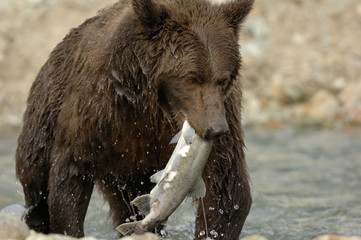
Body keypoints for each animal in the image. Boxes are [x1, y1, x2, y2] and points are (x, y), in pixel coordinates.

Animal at [15, 0, 253, 238]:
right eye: (191, 78)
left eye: (223, 79)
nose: (216, 129)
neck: (152, 107)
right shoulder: (97, 114)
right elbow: (71, 177)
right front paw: (68, 227)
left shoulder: (223, 114)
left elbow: (226, 189)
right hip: (45, 118)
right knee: (36, 183)